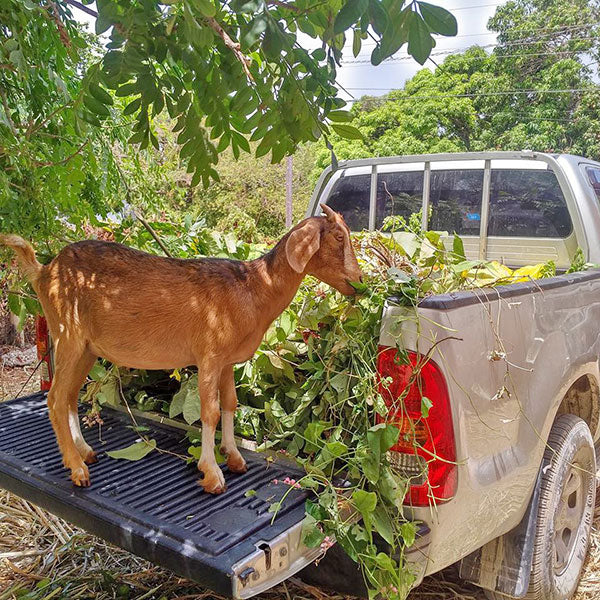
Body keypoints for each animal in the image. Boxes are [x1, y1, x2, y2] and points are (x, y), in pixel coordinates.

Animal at [1, 205, 360, 492]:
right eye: (338, 237)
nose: (359, 282)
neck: (252, 288)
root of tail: (44, 271)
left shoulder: (227, 362)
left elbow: (230, 404)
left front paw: (234, 457)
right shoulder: (209, 356)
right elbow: (209, 412)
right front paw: (212, 473)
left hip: (87, 348)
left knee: (71, 395)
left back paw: (85, 451)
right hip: (68, 337)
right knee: (55, 397)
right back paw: (77, 468)